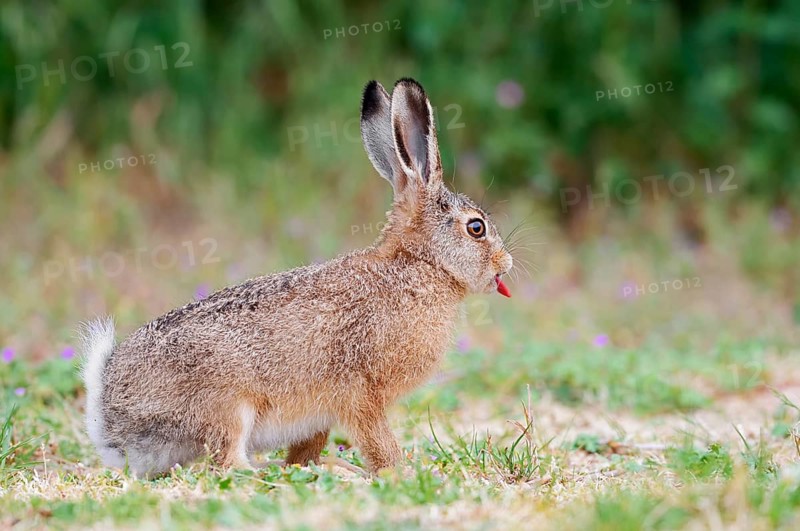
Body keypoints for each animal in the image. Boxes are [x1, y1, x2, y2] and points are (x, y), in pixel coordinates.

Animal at [80, 78, 513, 477]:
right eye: (476, 228)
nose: (505, 264)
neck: (418, 265)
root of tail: (110, 416)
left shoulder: (322, 417)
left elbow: (307, 450)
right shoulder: (360, 394)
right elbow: (378, 445)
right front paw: (396, 474)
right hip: (227, 405)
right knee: (230, 465)